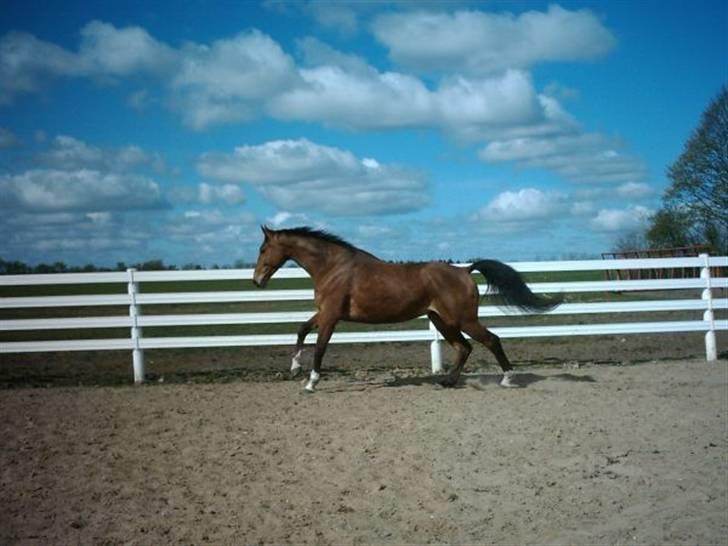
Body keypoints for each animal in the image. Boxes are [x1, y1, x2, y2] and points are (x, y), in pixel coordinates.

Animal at [253, 225, 560, 392]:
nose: (256, 280)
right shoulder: (325, 313)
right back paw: (447, 382)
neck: (334, 268)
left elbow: (320, 348)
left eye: (262, 249)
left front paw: (311, 383)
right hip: (441, 321)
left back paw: (508, 379)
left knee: (491, 340)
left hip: (463, 320)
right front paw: (294, 368)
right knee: (464, 348)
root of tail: (464, 270)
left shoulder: (331, 316)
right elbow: (301, 330)